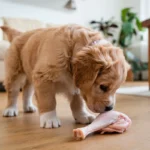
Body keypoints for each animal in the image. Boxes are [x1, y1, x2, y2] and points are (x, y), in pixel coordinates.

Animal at [0, 24, 129, 127]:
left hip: (30, 74)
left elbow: (78, 102)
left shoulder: (76, 85)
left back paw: (28, 107)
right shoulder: (43, 77)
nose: (110, 108)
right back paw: (10, 109)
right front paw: (49, 119)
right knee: (13, 92)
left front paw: (82, 116)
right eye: (103, 87)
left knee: (27, 90)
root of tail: (21, 34)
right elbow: (48, 100)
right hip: (14, 72)